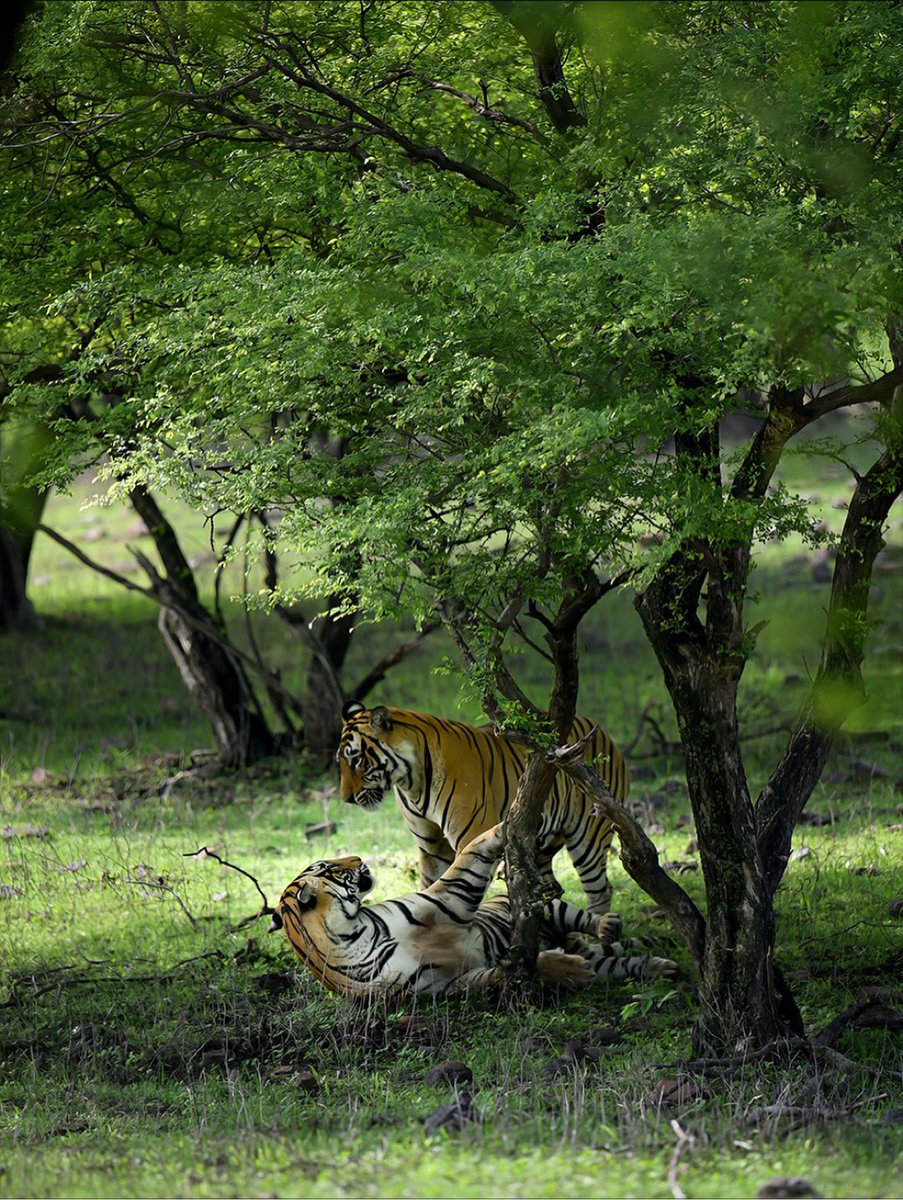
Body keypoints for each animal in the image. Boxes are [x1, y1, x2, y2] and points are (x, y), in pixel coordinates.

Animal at [276, 823, 677, 999]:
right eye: (329, 867)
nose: (358, 859)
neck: (355, 934)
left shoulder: (446, 897)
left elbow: (470, 851)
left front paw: (511, 822)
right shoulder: (441, 986)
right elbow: (506, 972)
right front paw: (569, 971)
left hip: (550, 908)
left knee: (585, 918)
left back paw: (609, 925)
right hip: (591, 951)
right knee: (617, 962)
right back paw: (661, 968)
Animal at [336, 702, 629, 915]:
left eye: (356, 759)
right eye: (341, 760)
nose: (346, 799)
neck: (411, 781)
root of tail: (601, 731)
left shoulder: (471, 838)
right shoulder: (432, 847)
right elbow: (431, 887)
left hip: (590, 837)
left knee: (601, 890)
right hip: (540, 844)